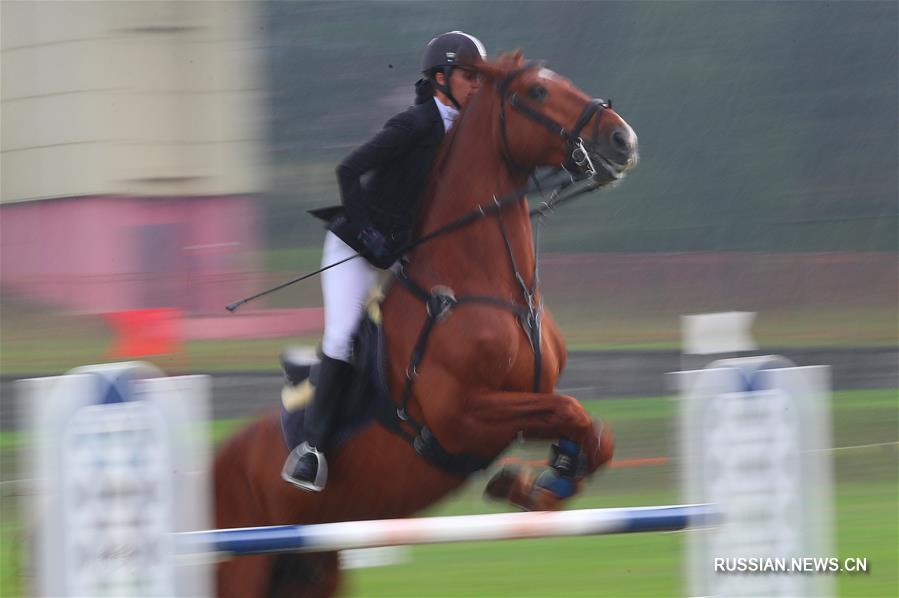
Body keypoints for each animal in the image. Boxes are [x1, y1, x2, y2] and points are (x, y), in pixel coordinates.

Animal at [215, 54, 640, 596]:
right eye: (537, 93)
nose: (622, 139)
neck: (490, 286)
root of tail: (214, 460)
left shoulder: (526, 399)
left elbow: (589, 429)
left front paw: (545, 480)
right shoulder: (459, 417)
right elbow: (570, 411)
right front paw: (532, 483)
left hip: (312, 567)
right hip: (240, 566)